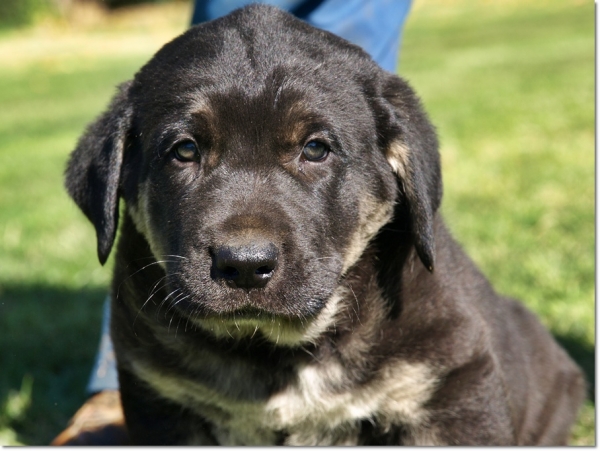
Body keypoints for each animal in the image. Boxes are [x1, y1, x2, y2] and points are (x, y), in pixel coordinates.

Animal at [64, 5, 580, 446]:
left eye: (315, 149)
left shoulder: (454, 383)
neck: (275, 351)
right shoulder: (162, 399)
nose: (245, 265)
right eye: (185, 150)